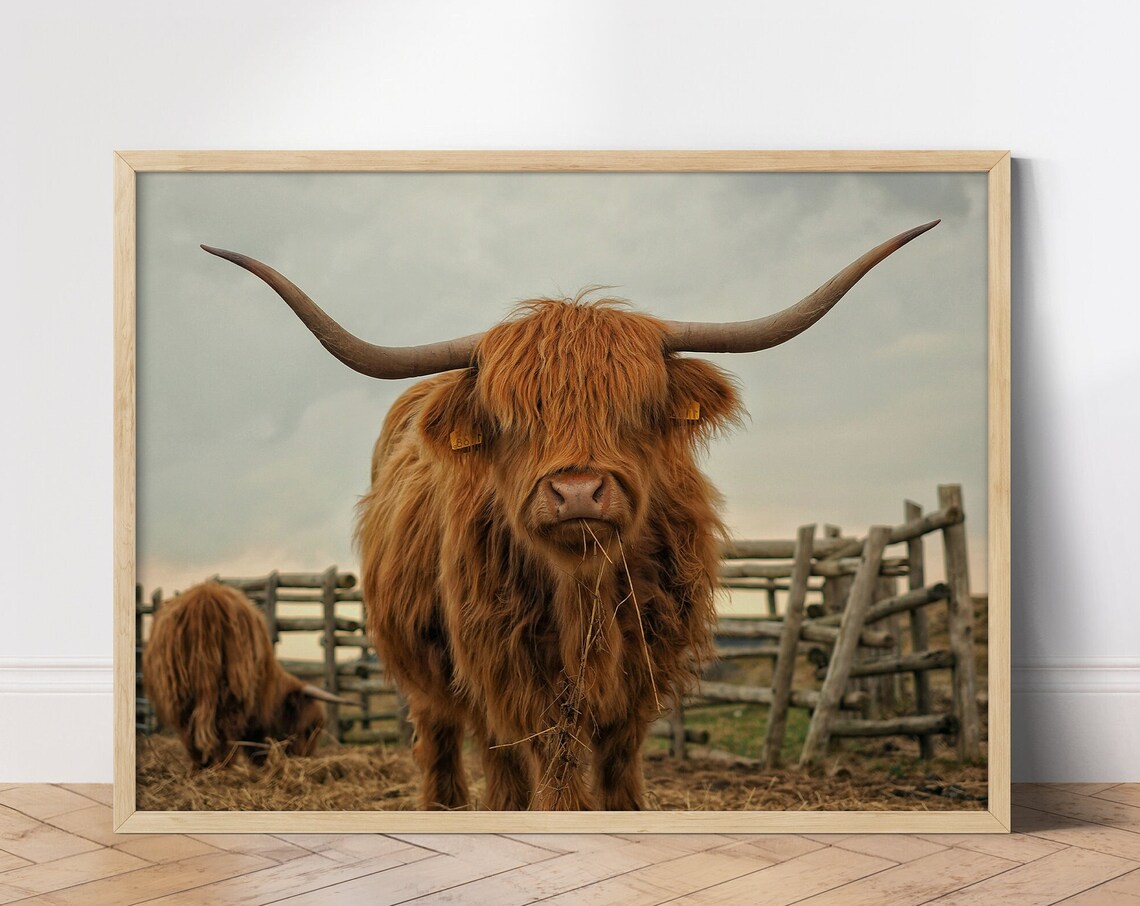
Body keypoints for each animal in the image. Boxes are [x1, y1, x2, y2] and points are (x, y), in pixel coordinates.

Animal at [143, 581, 350, 767]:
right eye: (309, 728)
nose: (305, 758)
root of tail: (205, 600)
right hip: (232, 688)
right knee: (224, 728)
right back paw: (225, 766)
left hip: (179, 691)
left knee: (189, 729)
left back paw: (202, 766)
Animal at [203, 219, 937, 808]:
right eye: (510, 419)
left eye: (636, 408)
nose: (579, 492)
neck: (584, 595)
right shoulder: (512, 679)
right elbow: (549, 775)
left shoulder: (641, 682)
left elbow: (618, 776)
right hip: (430, 678)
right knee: (453, 756)